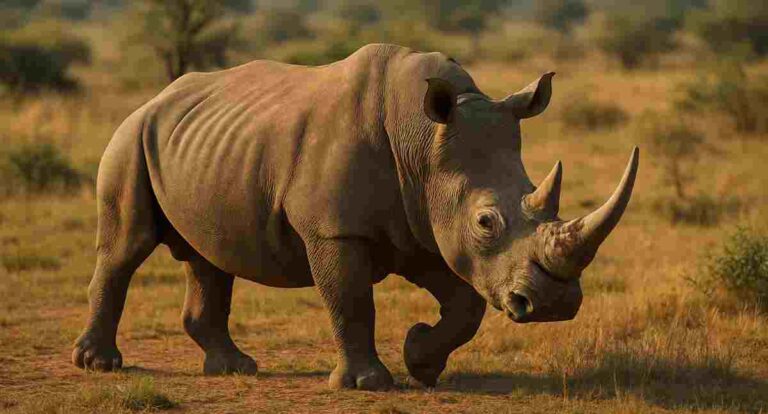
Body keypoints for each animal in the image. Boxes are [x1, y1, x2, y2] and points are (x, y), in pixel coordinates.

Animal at [72, 43, 639, 390]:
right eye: (486, 222)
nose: (554, 305)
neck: (424, 142)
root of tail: (156, 97)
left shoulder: (422, 224)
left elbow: (465, 305)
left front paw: (421, 360)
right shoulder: (335, 230)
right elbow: (350, 300)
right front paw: (370, 383)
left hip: (204, 143)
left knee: (209, 257)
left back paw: (235, 370)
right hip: (131, 135)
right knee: (125, 248)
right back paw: (100, 365)